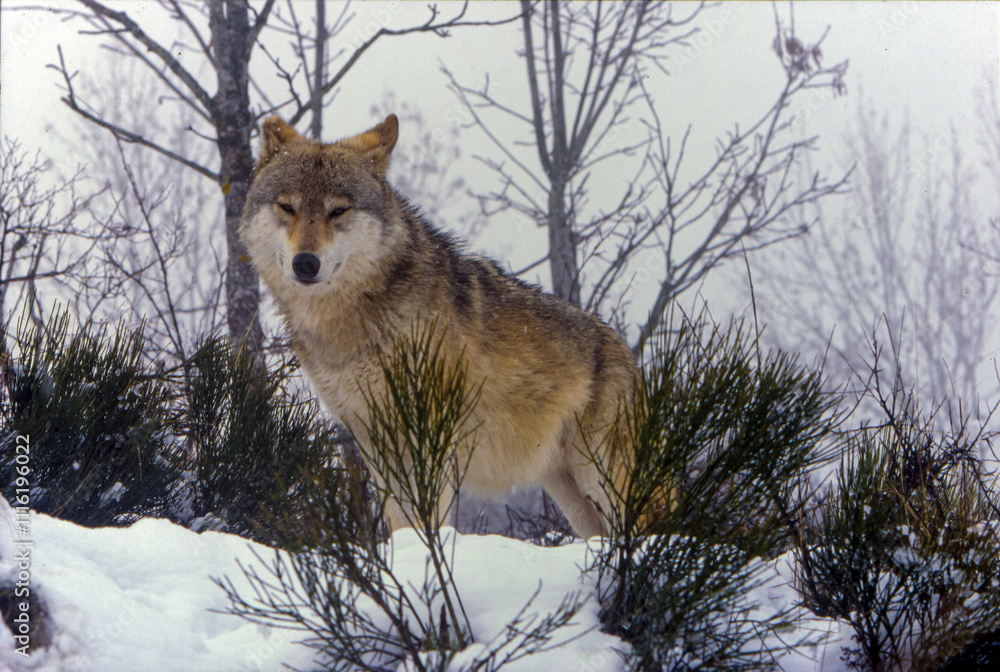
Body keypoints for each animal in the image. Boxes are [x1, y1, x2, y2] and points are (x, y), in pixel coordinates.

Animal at [239, 113, 638, 538]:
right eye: (287, 207)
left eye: (338, 211)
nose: (305, 263)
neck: (354, 323)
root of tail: (630, 357)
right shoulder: (375, 440)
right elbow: (399, 519)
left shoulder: (431, 433)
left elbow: (429, 515)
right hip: (574, 497)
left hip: (603, 480)